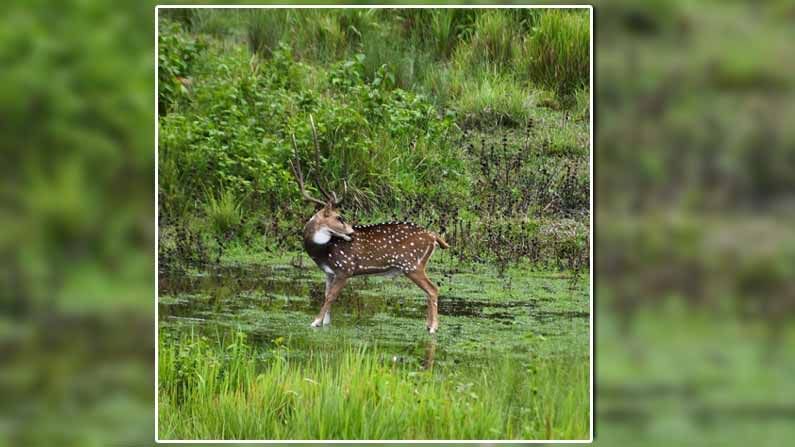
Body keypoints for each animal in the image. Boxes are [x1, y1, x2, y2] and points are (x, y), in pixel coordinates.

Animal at [290, 118, 448, 332]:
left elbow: (331, 297)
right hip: (415, 265)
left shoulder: (345, 268)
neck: (322, 251)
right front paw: (325, 323)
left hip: (412, 264)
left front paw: (315, 322)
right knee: (430, 290)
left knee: (433, 289)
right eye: (340, 217)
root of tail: (434, 237)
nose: (351, 232)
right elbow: (326, 296)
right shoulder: (329, 273)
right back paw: (428, 325)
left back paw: (433, 328)